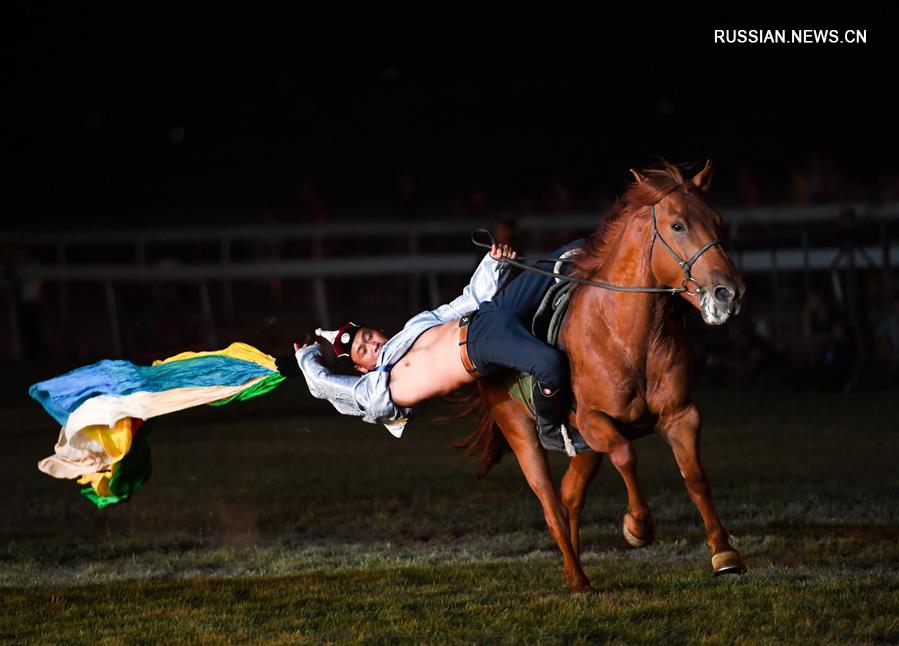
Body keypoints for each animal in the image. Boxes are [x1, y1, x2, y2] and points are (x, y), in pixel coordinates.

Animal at [460, 159, 748, 596]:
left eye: (718, 221)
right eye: (678, 225)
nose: (728, 292)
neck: (626, 335)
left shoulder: (681, 415)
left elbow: (696, 477)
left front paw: (724, 552)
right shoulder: (595, 421)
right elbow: (627, 456)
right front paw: (638, 526)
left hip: (585, 447)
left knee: (569, 497)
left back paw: (574, 569)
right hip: (522, 431)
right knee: (551, 503)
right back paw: (578, 578)